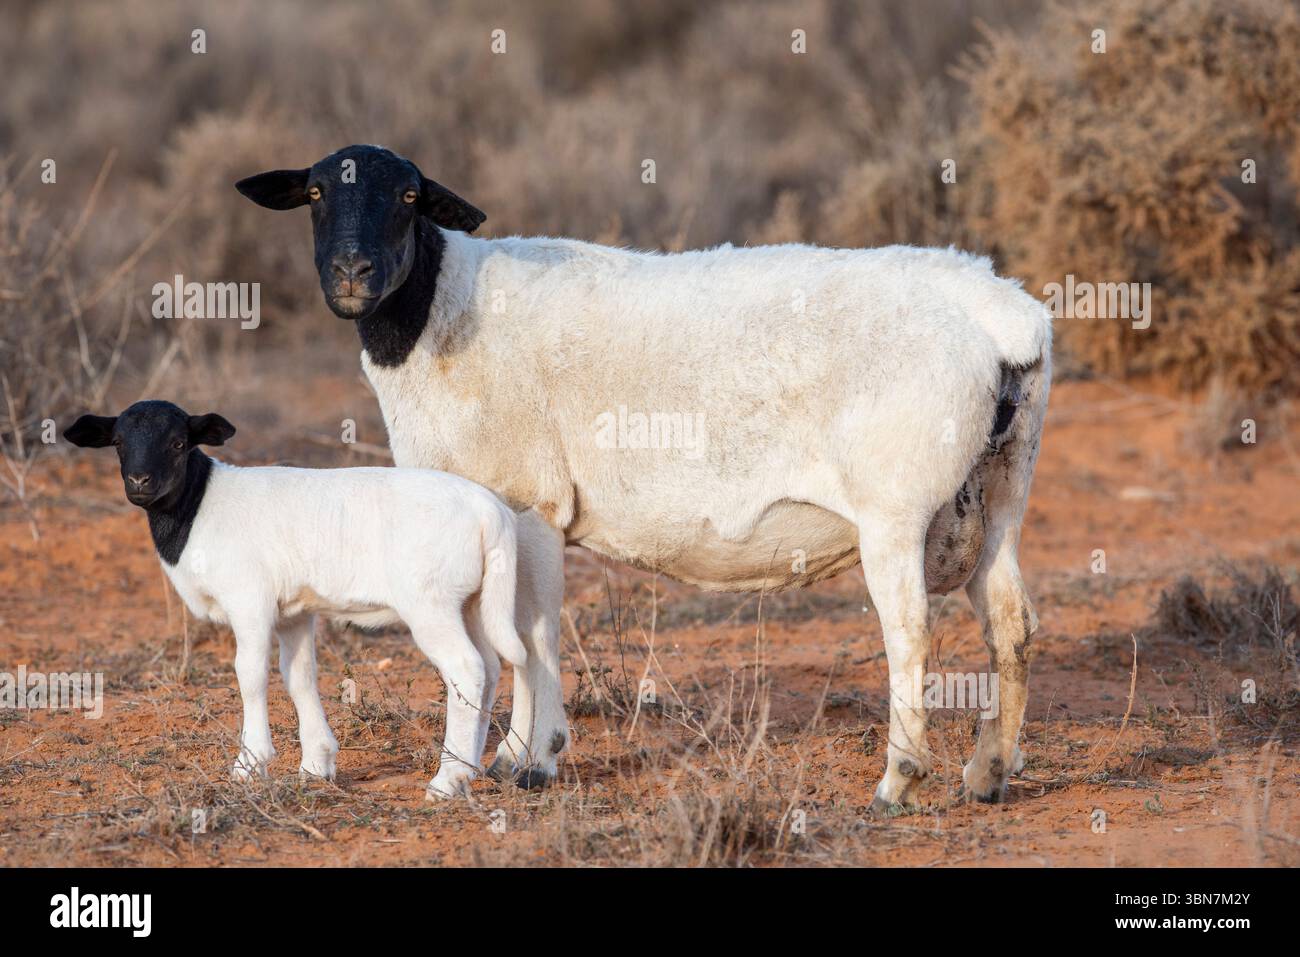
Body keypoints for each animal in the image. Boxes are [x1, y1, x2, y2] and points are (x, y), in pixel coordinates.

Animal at [64, 399, 526, 799]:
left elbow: (250, 675)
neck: (199, 508)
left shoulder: (249, 600)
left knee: (465, 667)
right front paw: (316, 765)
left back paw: (447, 781)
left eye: (179, 443)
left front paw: (249, 764)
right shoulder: (294, 613)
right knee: (490, 666)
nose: (140, 483)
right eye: (118, 442)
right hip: (472, 601)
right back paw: (469, 769)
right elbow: (298, 676)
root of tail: (491, 513)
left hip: (430, 601)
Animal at [236, 144, 1053, 811]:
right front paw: (512, 756)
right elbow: (517, 636)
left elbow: (529, 633)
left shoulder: (528, 501)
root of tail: (1004, 317)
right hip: (1001, 495)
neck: (442, 310)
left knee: (909, 632)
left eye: (409, 196)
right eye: (316, 193)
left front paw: (533, 760)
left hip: (894, 507)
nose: (353, 273)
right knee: (1010, 623)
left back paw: (898, 780)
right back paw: (988, 773)